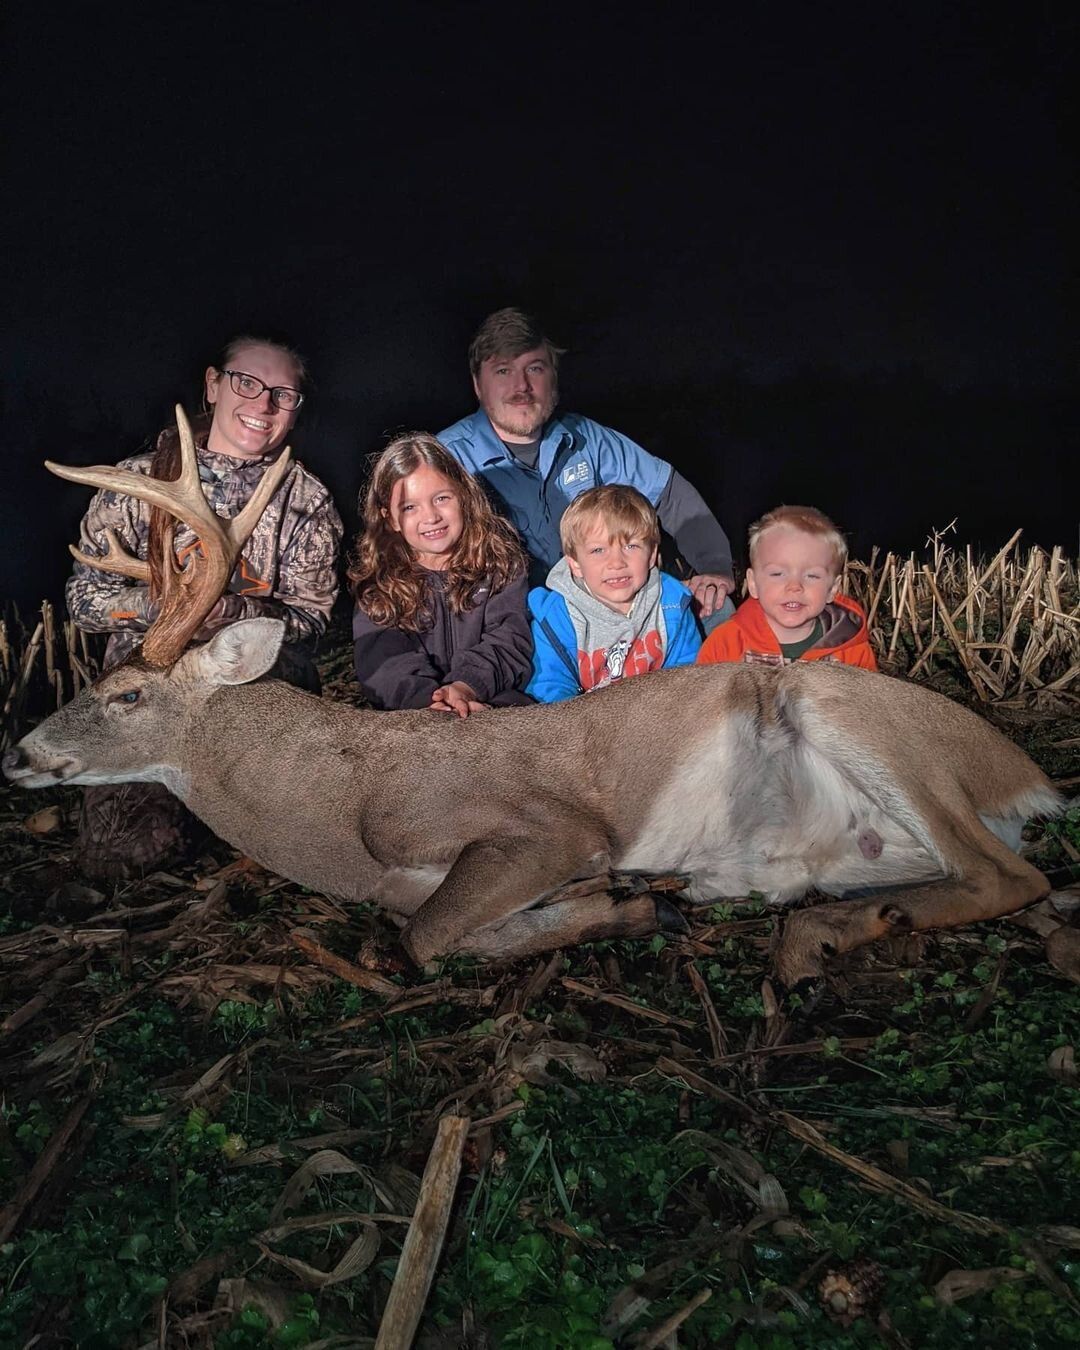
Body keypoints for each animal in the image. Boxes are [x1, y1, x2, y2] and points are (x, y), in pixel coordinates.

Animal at [0, 405, 1063, 988]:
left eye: (126, 693)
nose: (19, 753)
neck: (343, 807)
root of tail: (1025, 775)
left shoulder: (547, 827)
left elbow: (429, 935)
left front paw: (620, 905)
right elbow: (430, 930)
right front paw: (629, 904)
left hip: (854, 715)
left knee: (1015, 876)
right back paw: (822, 923)